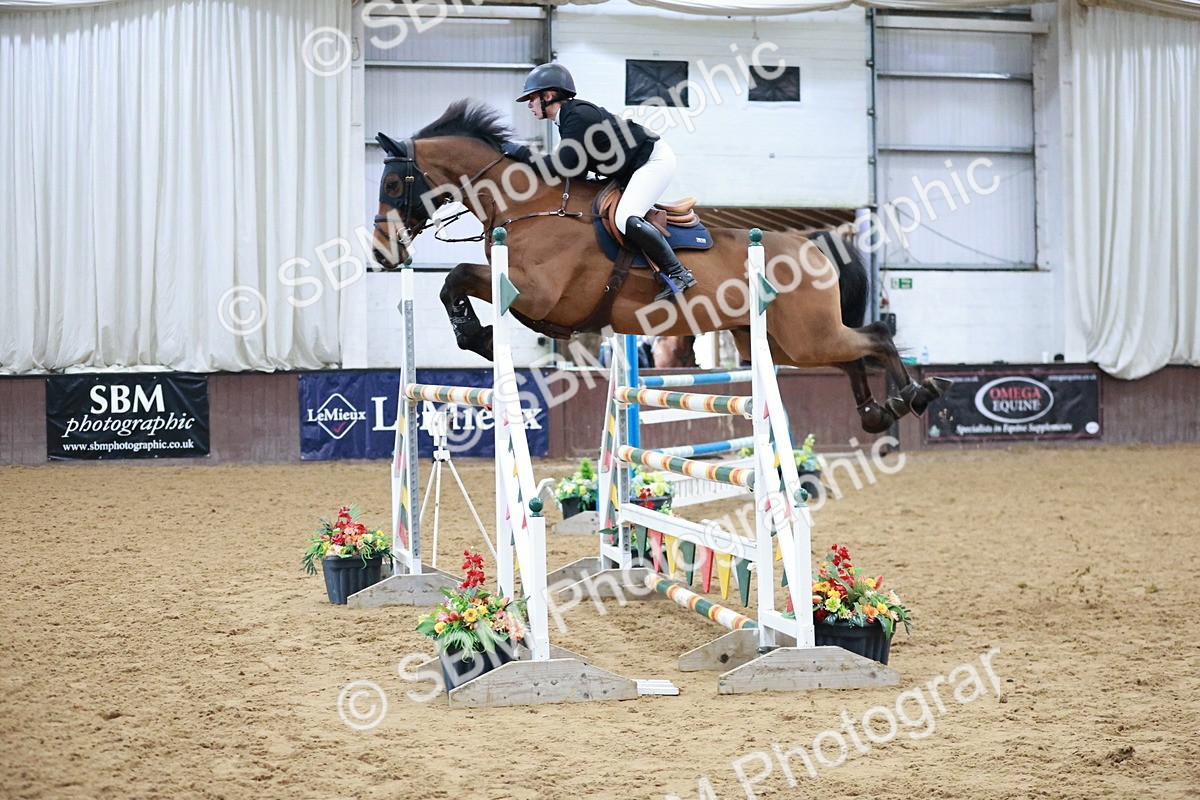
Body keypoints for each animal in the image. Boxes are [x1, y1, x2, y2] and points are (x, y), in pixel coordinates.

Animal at [371, 100, 950, 433]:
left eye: (394, 183)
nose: (382, 253)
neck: (529, 205)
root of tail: (814, 244)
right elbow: (455, 282)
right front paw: (478, 336)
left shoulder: (536, 292)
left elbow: (456, 277)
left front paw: (479, 337)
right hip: (780, 342)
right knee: (853, 353)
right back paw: (878, 413)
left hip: (804, 336)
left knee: (875, 336)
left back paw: (916, 394)